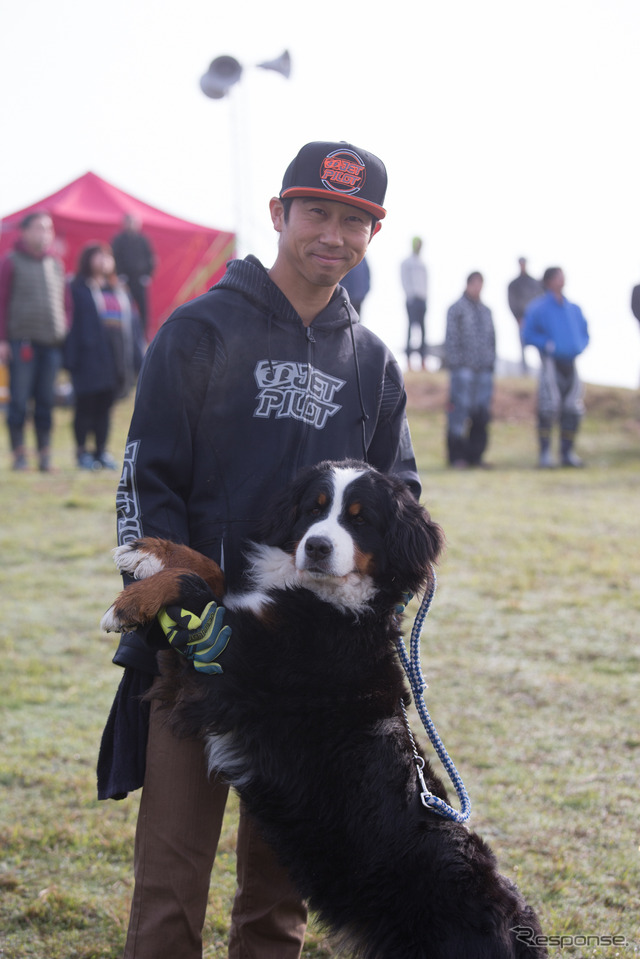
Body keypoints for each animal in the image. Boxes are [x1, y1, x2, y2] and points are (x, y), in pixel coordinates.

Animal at [102, 462, 548, 956]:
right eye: (313, 510)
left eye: (360, 519)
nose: (316, 546)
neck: (331, 602)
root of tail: (518, 928)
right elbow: (211, 569)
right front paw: (148, 552)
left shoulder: (231, 666)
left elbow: (197, 588)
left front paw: (130, 603)